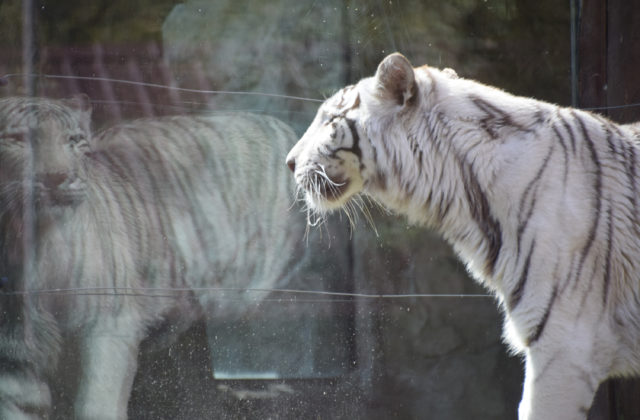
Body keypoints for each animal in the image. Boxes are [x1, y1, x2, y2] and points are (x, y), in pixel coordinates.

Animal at [0, 96, 302, 420]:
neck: (34, 242)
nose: (57, 178)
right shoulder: (13, 351)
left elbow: (98, 399)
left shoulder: (109, 321)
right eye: (18, 139)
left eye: (73, 141)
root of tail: (280, 124)